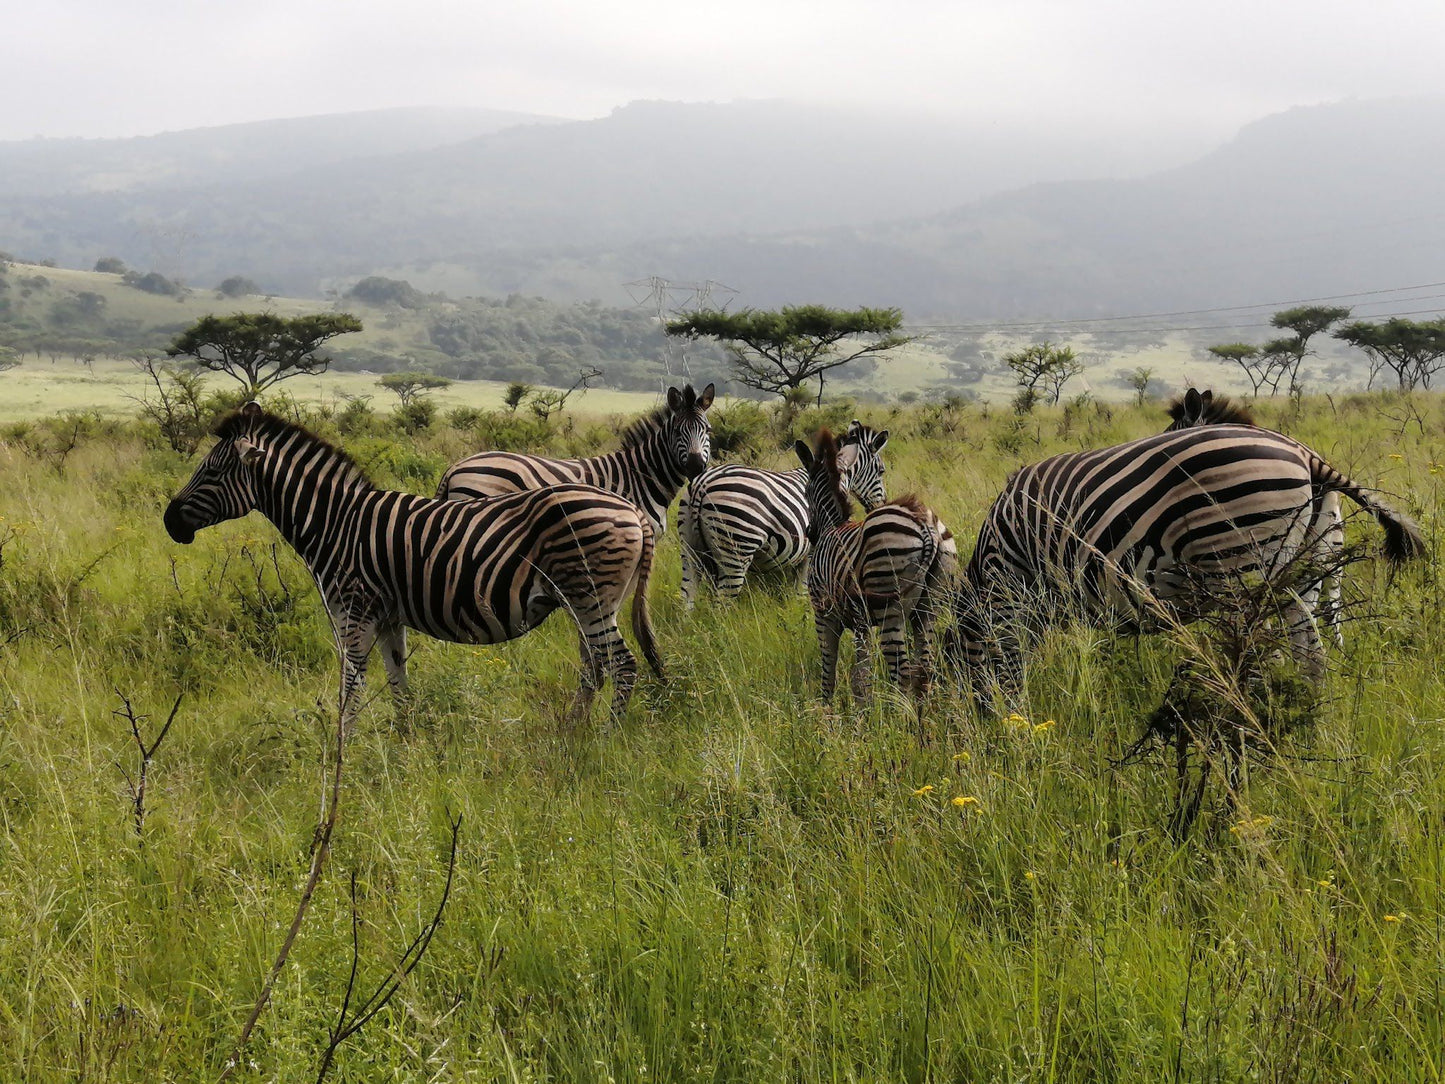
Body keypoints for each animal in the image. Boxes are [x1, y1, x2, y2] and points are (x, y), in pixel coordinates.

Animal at [166, 407, 661, 731]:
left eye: (211, 472)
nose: (170, 522)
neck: (336, 522)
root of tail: (631, 510)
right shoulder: (388, 618)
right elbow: (399, 688)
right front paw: (406, 752)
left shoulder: (353, 613)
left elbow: (351, 691)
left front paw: (343, 756)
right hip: (588, 602)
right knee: (597, 666)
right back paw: (573, 732)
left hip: (592, 599)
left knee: (622, 665)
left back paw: (605, 737)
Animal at [679, 419, 890, 607]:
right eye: (881, 471)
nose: (880, 505)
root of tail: (702, 483)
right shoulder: (813, 552)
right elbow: (804, 590)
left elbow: (794, 592)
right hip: (736, 549)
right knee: (722, 604)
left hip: (689, 551)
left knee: (687, 599)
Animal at [791, 427, 959, 699]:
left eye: (805, 492)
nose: (810, 533)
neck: (832, 525)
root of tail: (927, 527)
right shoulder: (861, 623)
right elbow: (862, 676)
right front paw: (862, 708)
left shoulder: (824, 614)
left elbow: (831, 668)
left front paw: (830, 707)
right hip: (929, 607)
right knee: (925, 669)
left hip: (891, 607)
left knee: (902, 673)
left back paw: (899, 711)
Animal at [947, 419, 1421, 708]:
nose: (979, 721)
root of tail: (1306, 455)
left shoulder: (1013, 593)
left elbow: (1013, 665)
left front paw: (1019, 719)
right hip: (1302, 569)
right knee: (1311, 655)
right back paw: (1307, 722)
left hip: (1239, 562)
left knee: (1259, 656)